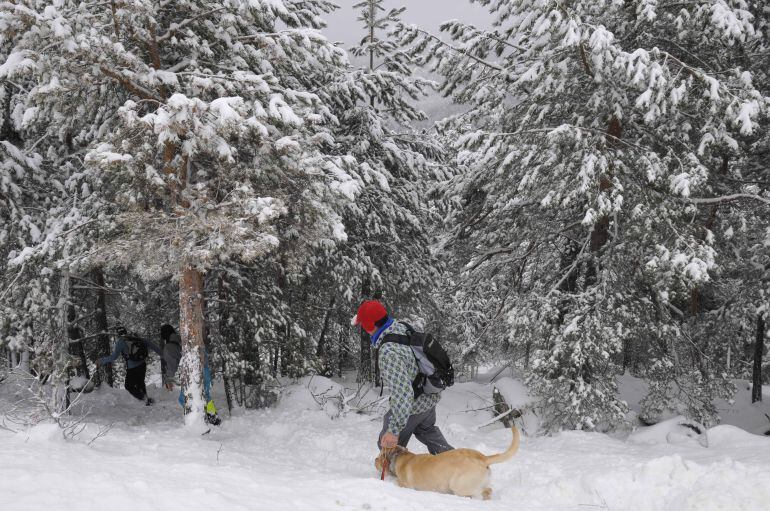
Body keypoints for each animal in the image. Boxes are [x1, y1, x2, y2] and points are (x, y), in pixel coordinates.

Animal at [372, 426, 516, 502]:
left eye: (379, 456)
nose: (374, 460)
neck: (398, 456)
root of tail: (483, 457)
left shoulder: (405, 485)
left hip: (459, 485)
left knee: (484, 491)